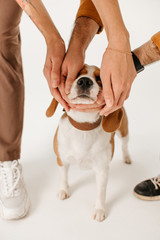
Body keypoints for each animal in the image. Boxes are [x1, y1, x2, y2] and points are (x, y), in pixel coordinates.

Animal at [46, 63, 131, 221]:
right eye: (77, 74)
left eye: (99, 79)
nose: (84, 81)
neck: (83, 128)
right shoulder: (62, 160)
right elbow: (63, 177)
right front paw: (63, 190)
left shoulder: (102, 170)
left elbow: (101, 193)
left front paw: (99, 209)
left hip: (124, 132)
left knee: (125, 145)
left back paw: (127, 157)